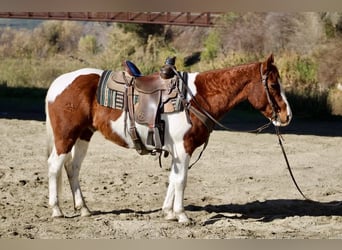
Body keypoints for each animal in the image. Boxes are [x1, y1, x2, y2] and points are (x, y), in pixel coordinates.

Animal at [44, 54, 292, 223]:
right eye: (273, 85)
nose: (287, 116)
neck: (197, 97)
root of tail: (57, 83)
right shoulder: (184, 149)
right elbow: (181, 180)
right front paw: (181, 215)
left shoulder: (176, 152)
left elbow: (173, 178)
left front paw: (168, 212)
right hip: (65, 136)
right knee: (54, 167)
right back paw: (57, 210)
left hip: (83, 135)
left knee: (73, 168)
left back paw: (83, 208)